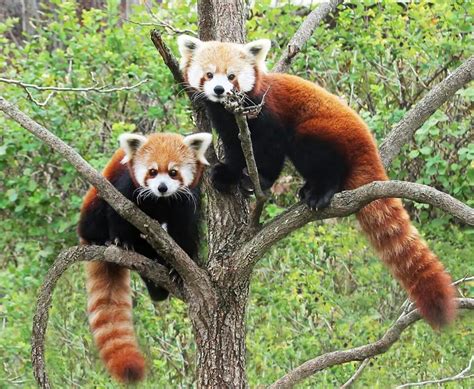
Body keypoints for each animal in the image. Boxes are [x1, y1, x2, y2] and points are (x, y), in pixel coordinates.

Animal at [78, 131, 212, 382]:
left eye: (173, 172)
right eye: (152, 171)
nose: (162, 187)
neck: (161, 201)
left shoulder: (189, 198)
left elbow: (185, 231)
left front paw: (179, 267)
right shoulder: (124, 185)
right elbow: (119, 211)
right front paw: (122, 241)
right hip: (92, 209)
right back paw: (108, 242)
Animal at [177, 34, 456, 328]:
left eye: (232, 76)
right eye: (209, 75)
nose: (220, 90)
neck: (231, 111)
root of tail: (368, 147)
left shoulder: (264, 112)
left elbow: (270, 149)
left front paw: (259, 181)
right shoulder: (227, 123)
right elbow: (234, 148)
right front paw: (227, 174)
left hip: (322, 132)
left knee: (312, 152)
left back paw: (321, 190)